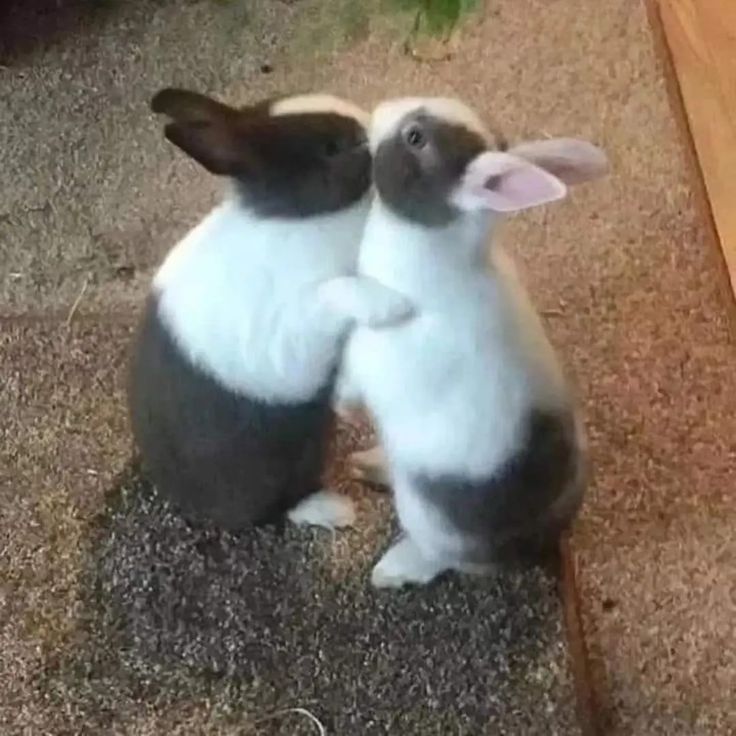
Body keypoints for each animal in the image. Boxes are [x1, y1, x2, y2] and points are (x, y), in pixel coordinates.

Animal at [127, 89, 414, 532]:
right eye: (331, 147)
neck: (303, 218)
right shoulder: (294, 330)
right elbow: (337, 292)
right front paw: (392, 305)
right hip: (275, 465)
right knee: (277, 506)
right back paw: (336, 509)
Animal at [340, 98, 608, 588]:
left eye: (415, 138)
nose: (379, 109)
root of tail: (530, 546)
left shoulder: (368, 354)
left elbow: (348, 381)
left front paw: (344, 409)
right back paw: (367, 463)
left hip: (425, 517)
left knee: (439, 559)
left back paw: (392, 570)